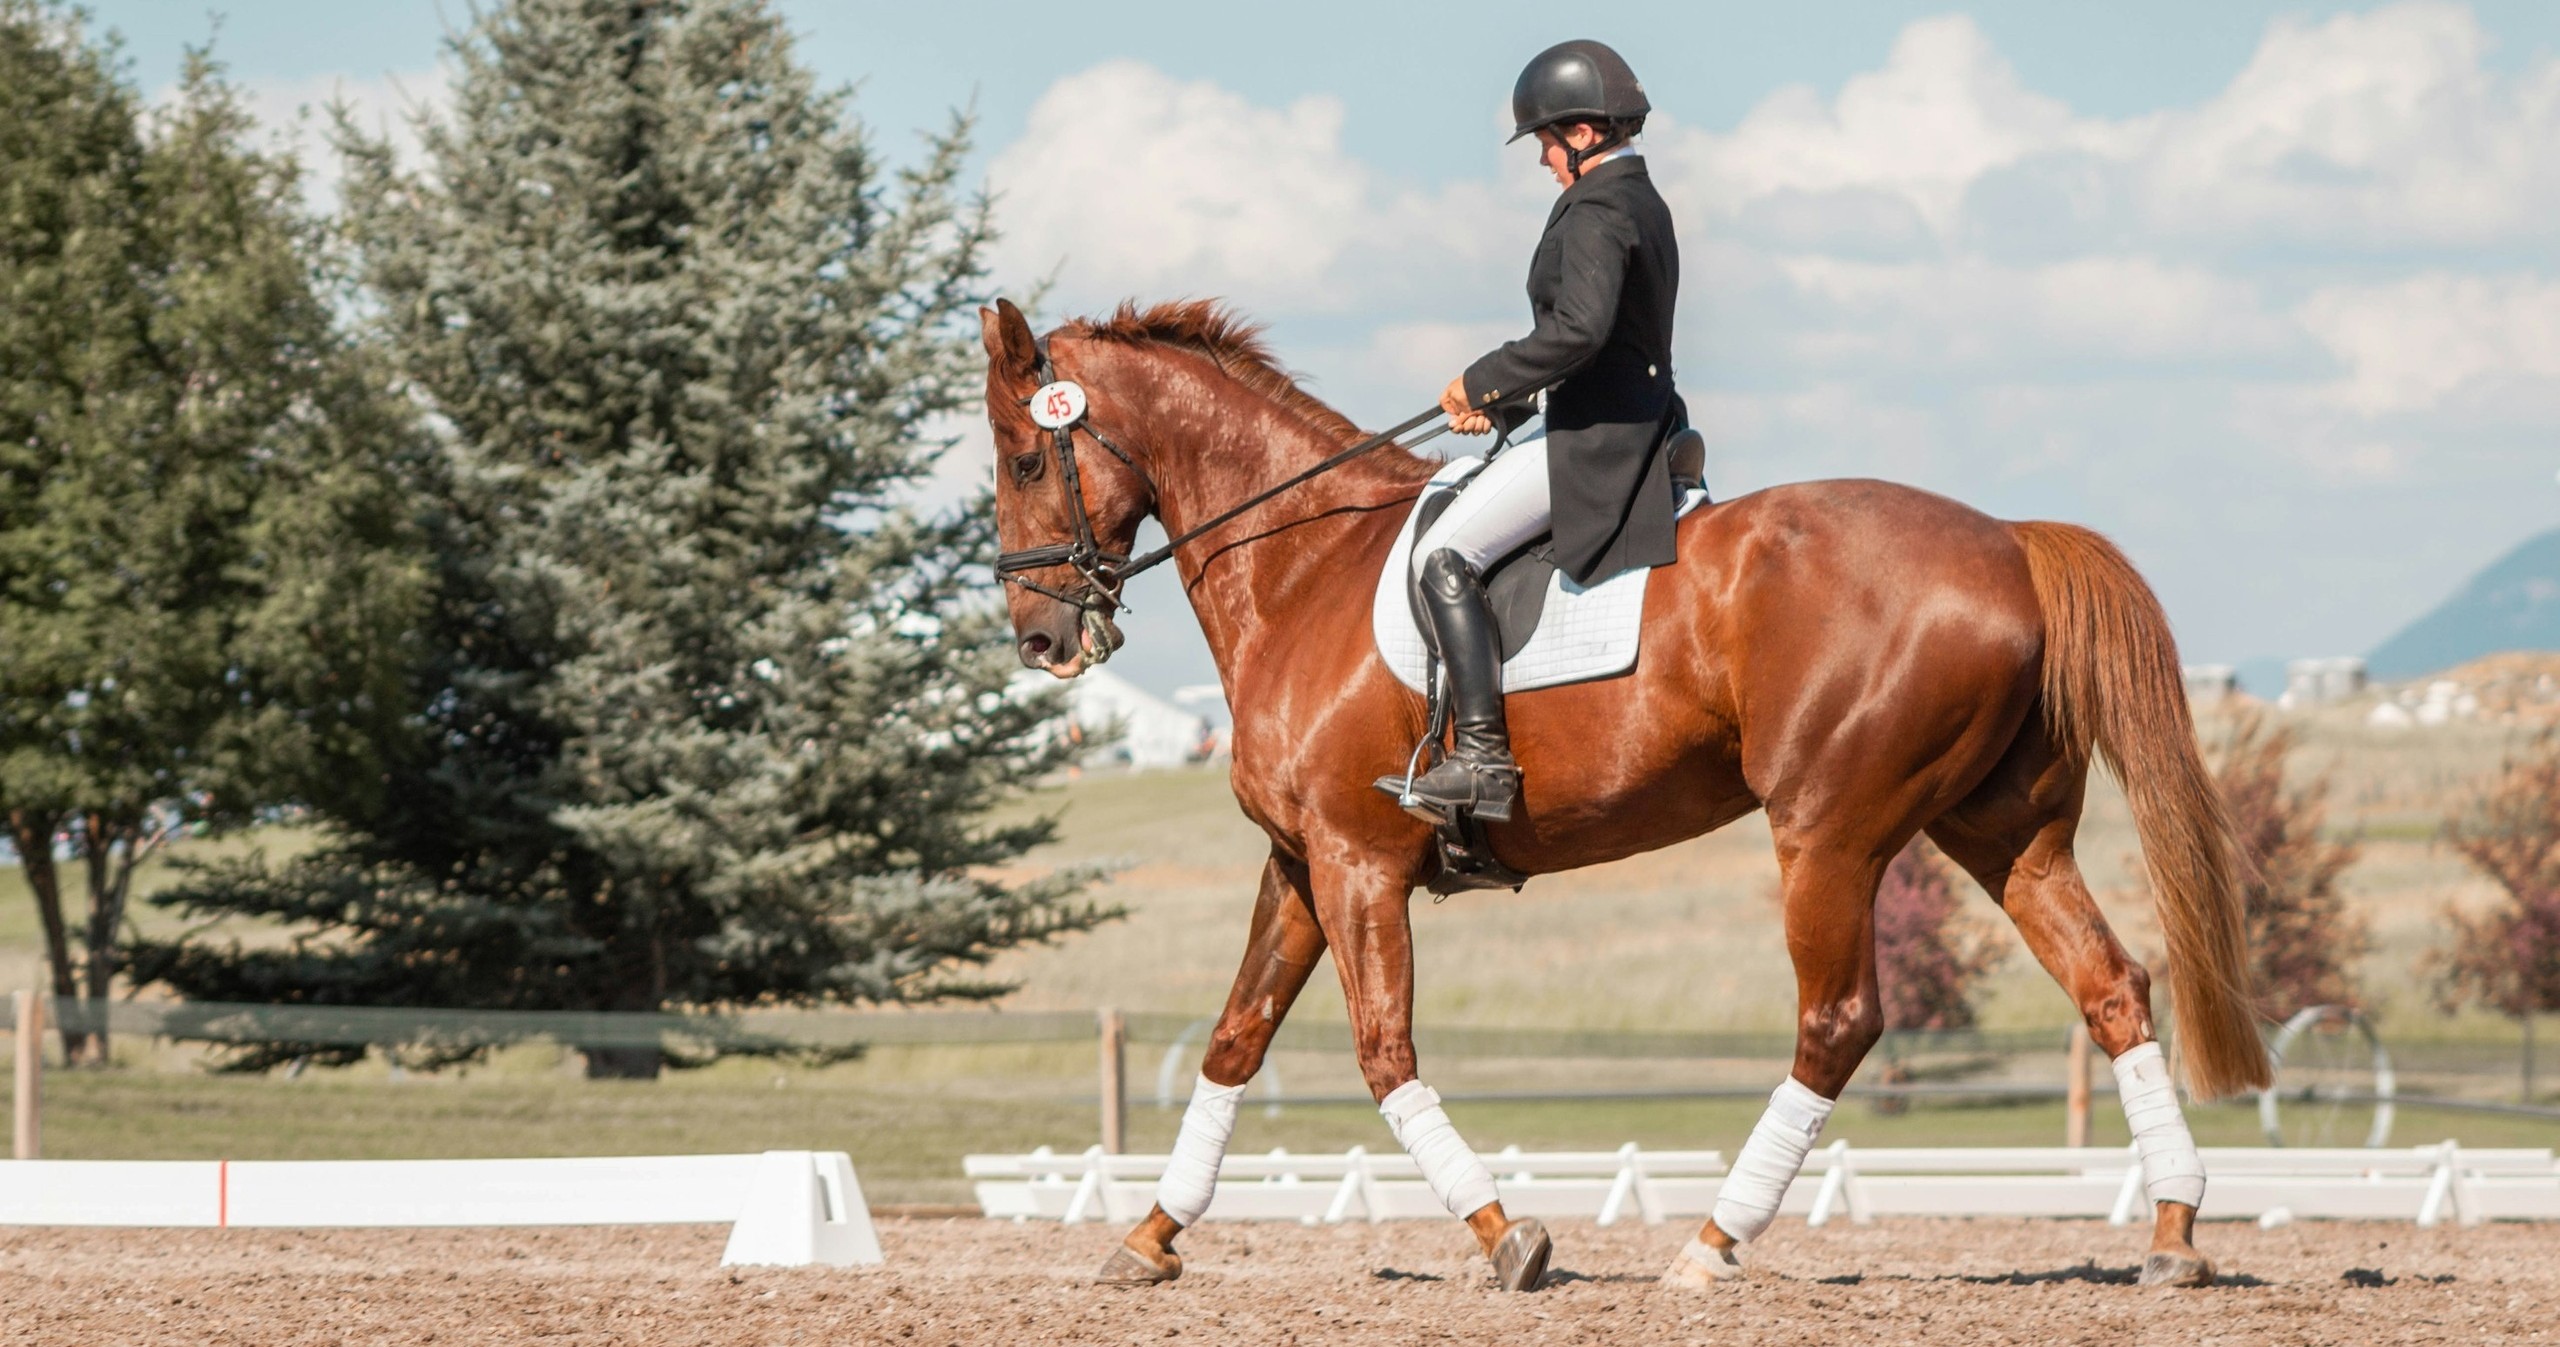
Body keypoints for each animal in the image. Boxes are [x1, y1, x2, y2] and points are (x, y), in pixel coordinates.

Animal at [988, 300, 2273, 1295]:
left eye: (1021, 458)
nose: (1040, 638)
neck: (1303, 565)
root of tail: (2007, 543)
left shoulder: (1358, 862)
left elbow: (1382, 1052)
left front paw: (1507, 1238)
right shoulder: (1302, 864)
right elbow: (1235, 1038)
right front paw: (1149, 1238)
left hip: (1829, 833)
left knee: (1836, 1022)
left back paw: (1711, 1244)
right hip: (2004, 834)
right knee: (2110, 987)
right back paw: (2173, 1232)